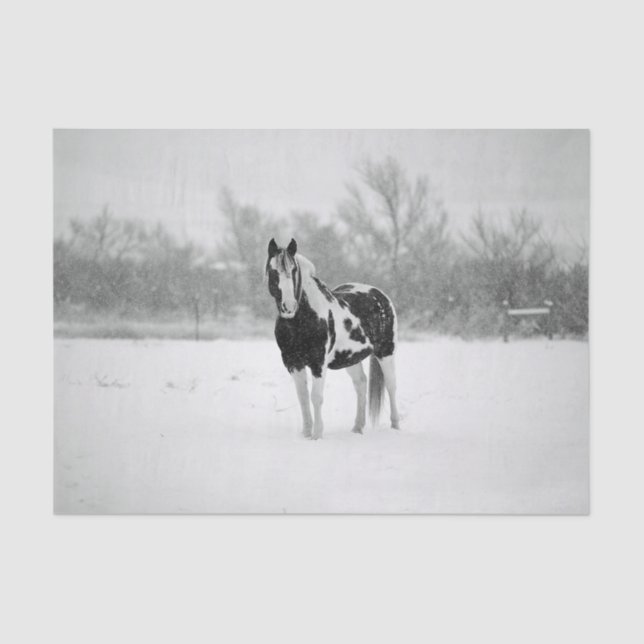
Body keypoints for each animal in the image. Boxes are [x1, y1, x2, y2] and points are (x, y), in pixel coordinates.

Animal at [265, 237, 400, 440]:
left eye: (294, 270)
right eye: (273, 270)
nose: (289, 306)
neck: (302, 320)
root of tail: (380, 295)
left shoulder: (318, 363)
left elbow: (316, 397)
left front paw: (317, 435)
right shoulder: (293, 363)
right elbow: (303, 397)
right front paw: (306, 433)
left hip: (386, 352)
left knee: (391, 385)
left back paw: (395, 427)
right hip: (351, 358)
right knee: (361, 384)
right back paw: (357, 428)